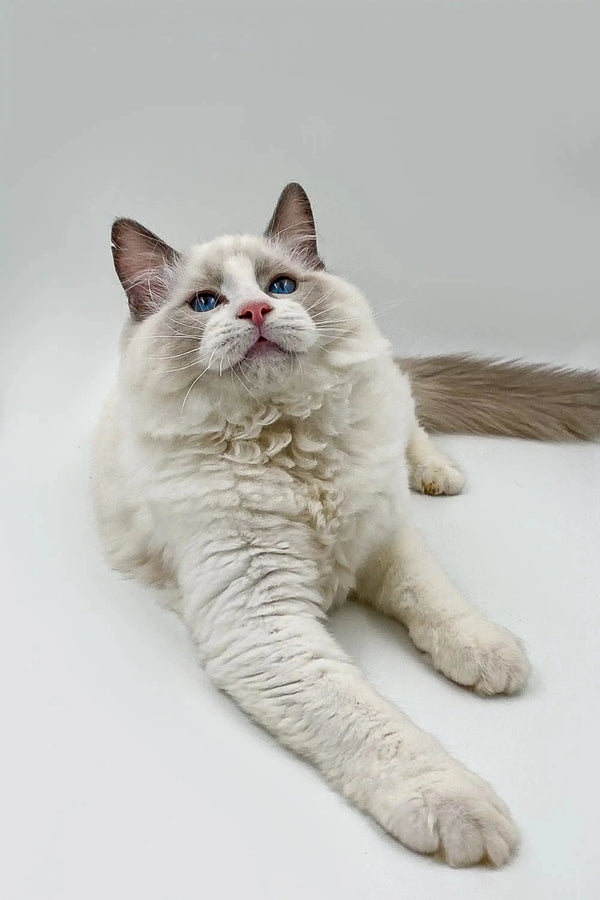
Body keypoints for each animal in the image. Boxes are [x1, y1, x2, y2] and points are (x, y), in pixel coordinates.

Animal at [94, 181, 600, 864]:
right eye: (206, 303)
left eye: (280, 286)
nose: (255, 311)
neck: (286, 442)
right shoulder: (265, 628)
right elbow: (376, 728)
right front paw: (459, 809)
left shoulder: (384, 535)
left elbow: (436, 598)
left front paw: (487, 653)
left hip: (387, 390)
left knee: (412, 422)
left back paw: (438, 473)